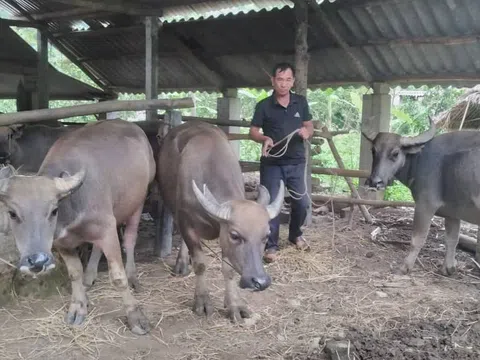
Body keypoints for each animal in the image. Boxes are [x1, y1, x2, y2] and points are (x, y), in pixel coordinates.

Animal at [0, 119, 155, 334]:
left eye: (54, 210)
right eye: (12, 213)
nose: (37, 261)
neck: (72, 205)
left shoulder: (108, 230)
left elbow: (118, 277)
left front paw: (135, 317)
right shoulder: (61, 243)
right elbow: (74, 273)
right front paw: (78, 306)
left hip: (138, 202)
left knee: (130, 241)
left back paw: (133, 277)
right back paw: (89, 277)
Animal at [158, 121, 284, 324]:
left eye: (266, 236)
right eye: (235, 235)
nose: (260, 281)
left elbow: (228, 270)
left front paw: (234, 305)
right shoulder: (187, 222)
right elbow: (201, 264)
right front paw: (202, 301)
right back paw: (182, 264)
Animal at [362, 116, 480, 274]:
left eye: (395, 153)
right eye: (373, 151)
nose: (375, 182)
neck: (419, 160)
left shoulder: (425, 205)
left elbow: (417, 239)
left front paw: (405, 266)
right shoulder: (452, 212)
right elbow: (452, 239)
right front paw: (448, 269)